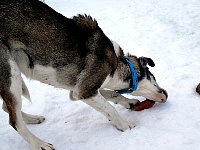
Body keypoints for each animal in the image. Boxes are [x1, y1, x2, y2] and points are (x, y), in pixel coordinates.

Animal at [0, 0, 167, 150]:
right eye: (154, 78)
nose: (165, 95)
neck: (117, 63)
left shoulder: (80, 90)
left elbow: (112, 95)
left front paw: (129, 102)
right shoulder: (84, 91)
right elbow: (110, 108)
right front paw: (125, 125)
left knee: (7, 108)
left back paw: (33, 119)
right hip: (11, 75)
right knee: (14, 121)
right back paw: (39, 144)